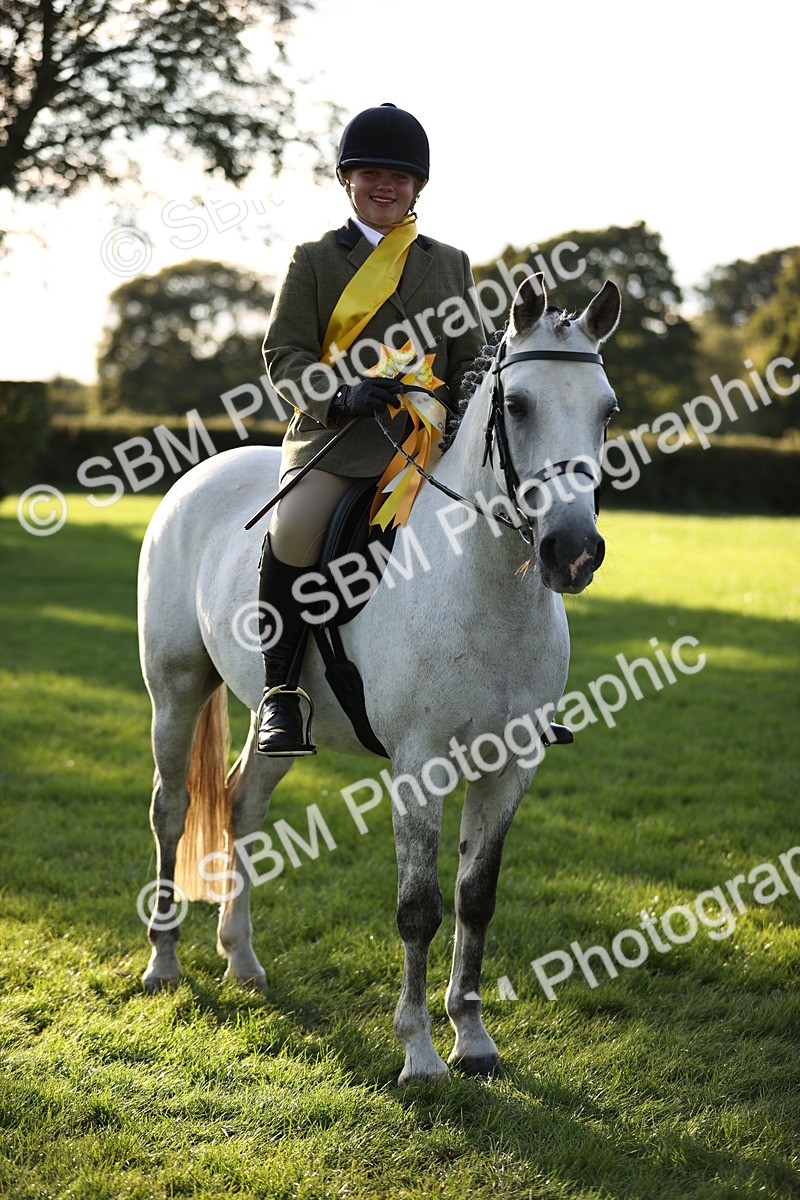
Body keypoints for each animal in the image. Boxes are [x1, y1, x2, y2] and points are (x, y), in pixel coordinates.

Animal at [137, 272, 621, 1083]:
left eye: (607, 409)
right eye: (518, 405)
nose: (574, 551)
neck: (484, 583)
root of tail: (200, 475)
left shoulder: (510, 766)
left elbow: (476, 898)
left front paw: (474, 1041)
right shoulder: (419, 764)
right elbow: (418, 906)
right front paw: (420, 1053)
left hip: (275, 722)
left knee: (241, 804)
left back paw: (242, 960)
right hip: (174, 690)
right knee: (172, 810)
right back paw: (164, 963)